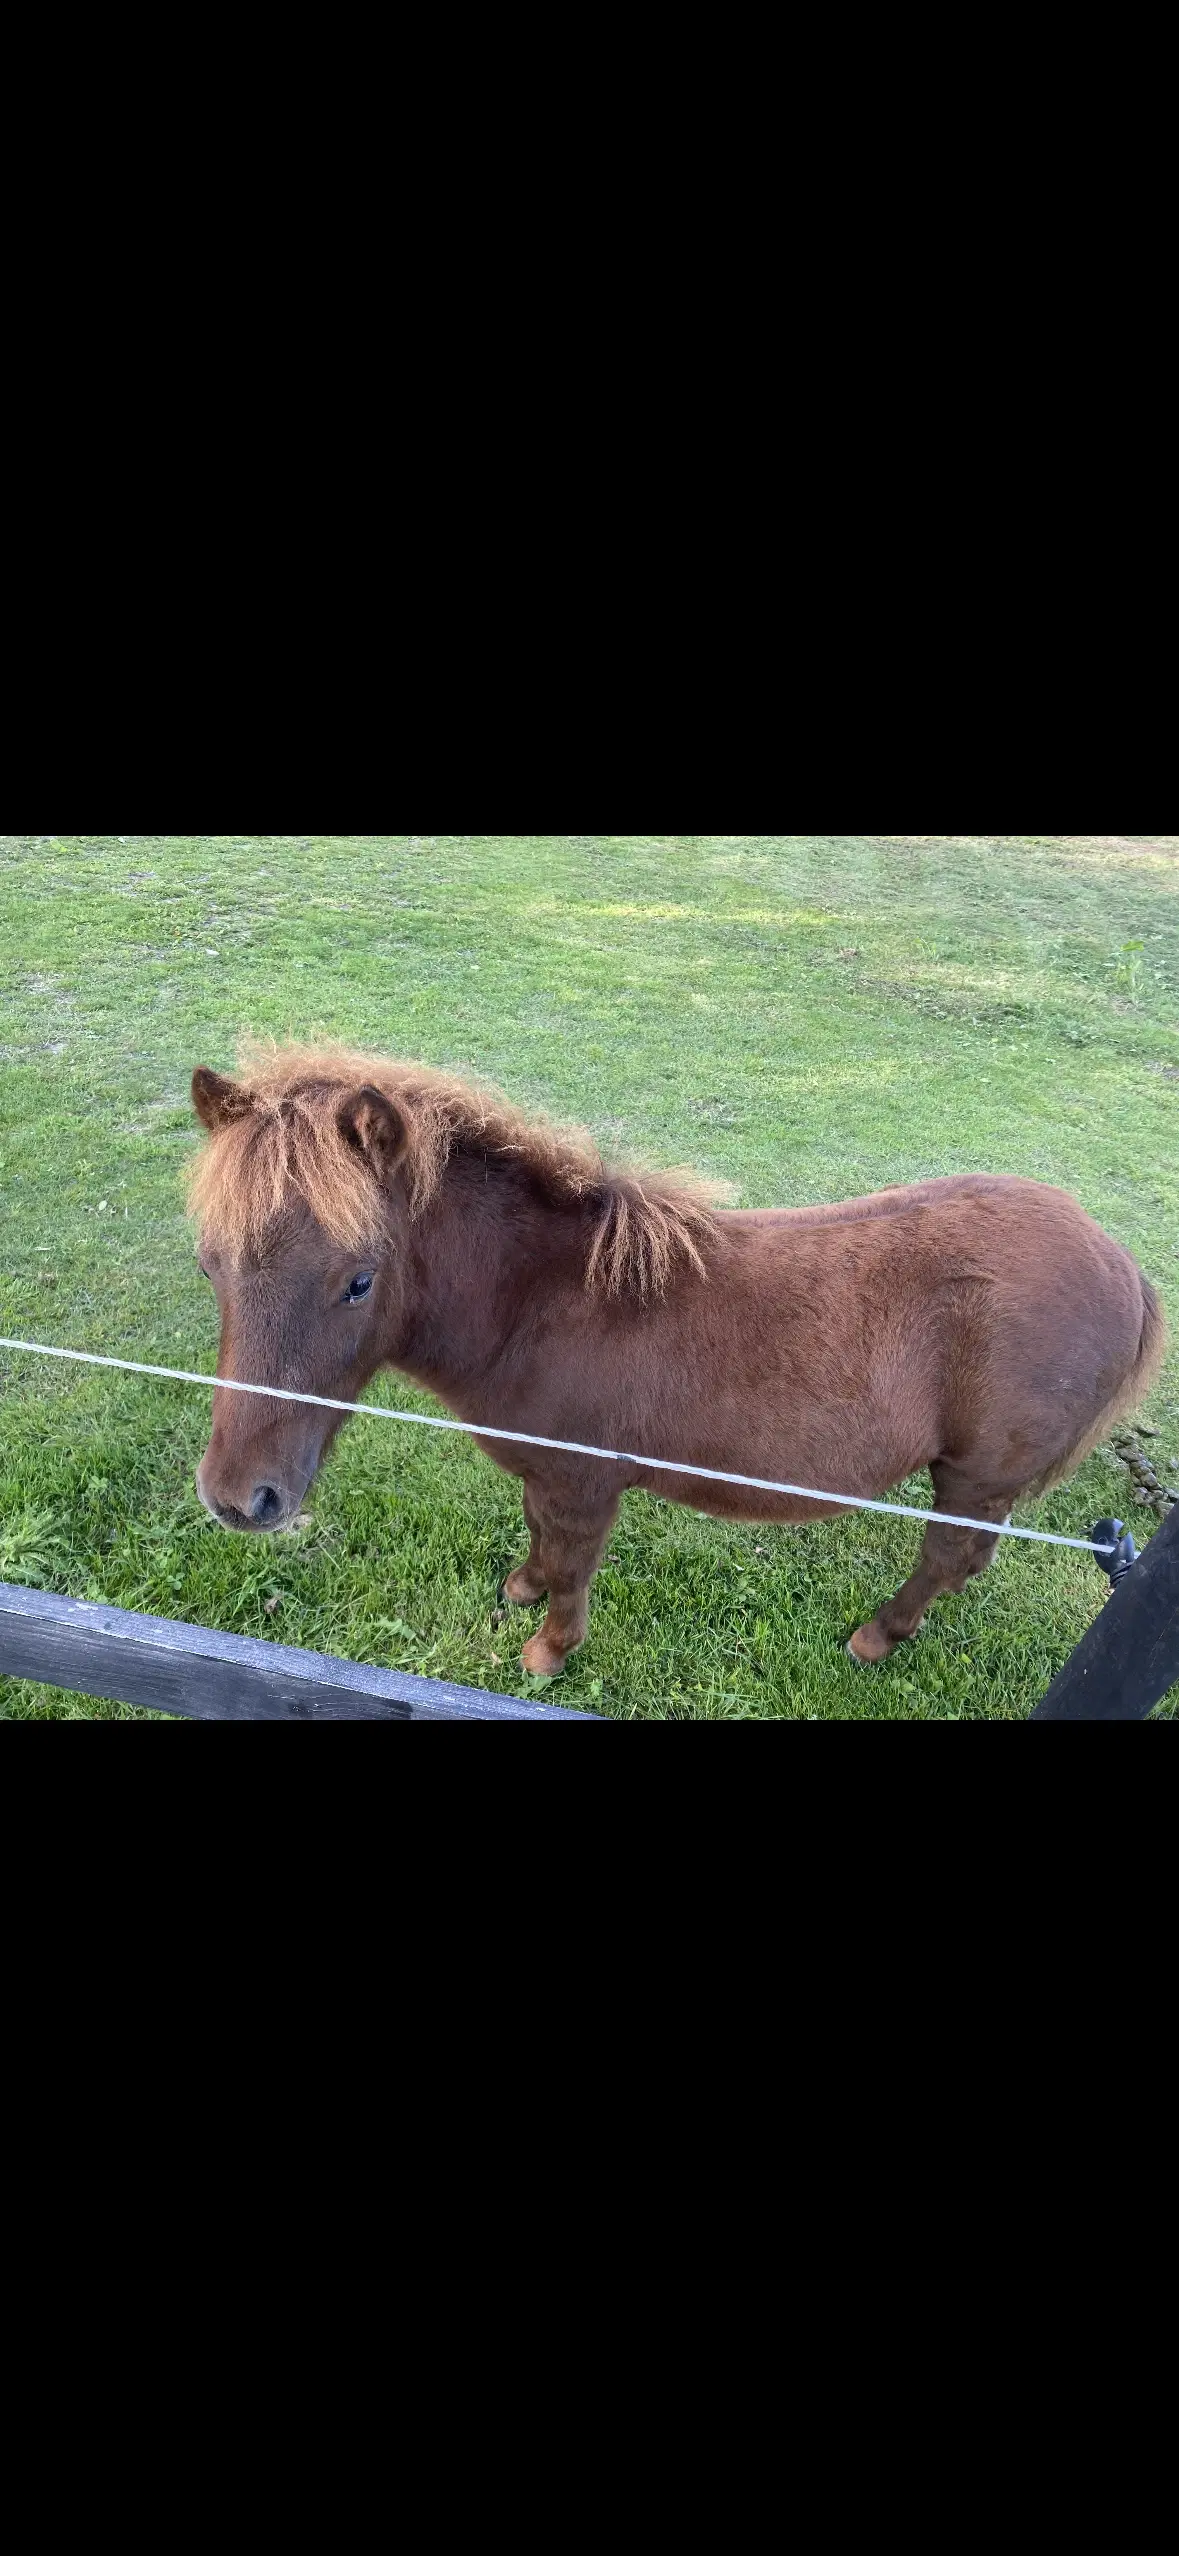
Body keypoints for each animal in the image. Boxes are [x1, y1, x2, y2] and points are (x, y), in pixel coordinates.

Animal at [187, 1042, 1161, 1676]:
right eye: (210, 1262)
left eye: (358, 1281)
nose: (240, 1500)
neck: (544, 1301)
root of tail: (1120, 1264)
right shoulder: (548, 1478)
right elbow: (539, 1545)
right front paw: (519, 1589)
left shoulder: (585, 1486)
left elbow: (572, 1570)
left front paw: (548, 1652)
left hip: (971, 1478)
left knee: (946, 1557)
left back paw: (874, 1639)